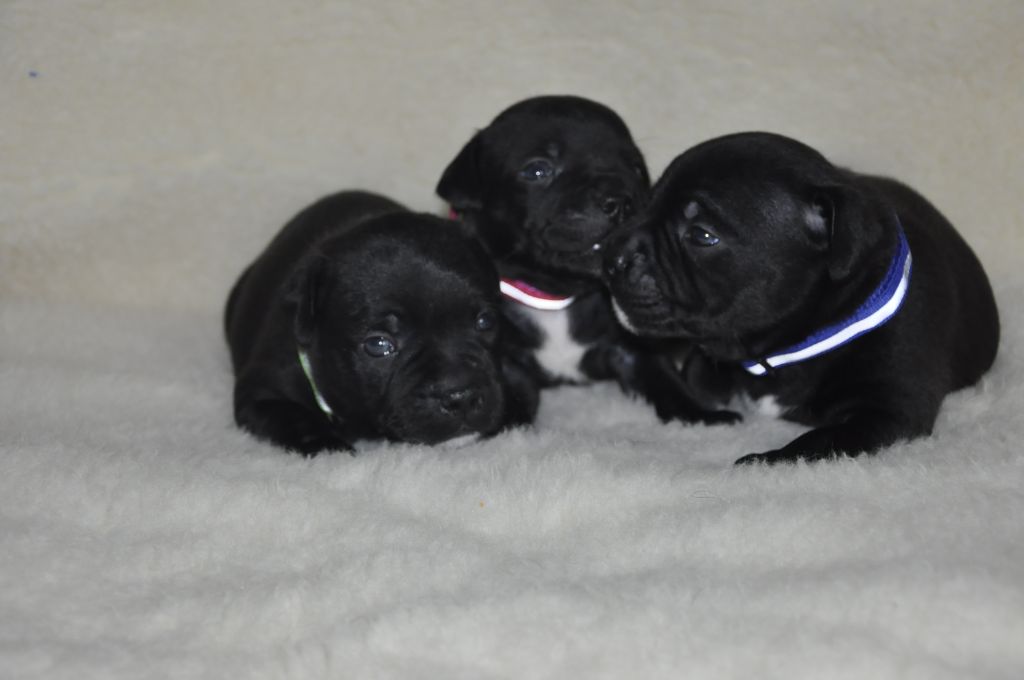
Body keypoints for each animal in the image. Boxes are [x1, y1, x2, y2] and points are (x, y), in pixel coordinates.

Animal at [225, 191, 544, 454]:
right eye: (378, 345)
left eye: (485, 321)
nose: (459, 396)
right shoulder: (261, 392)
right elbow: (293, 417)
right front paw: (326, 444)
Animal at [438, 95, 738, 425]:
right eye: (537, 170)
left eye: (636, 169)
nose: (620, 201)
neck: (556, 297)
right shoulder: (506, 360)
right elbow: (511, 393)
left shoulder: (632, 350)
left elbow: (666, 381)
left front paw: (701, 416)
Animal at [605, 132, 1000, 463]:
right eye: (646, 203)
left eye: (702, 235)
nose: (611, 259)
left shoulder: (889, 410)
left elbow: (817, 440)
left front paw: (763, 461)